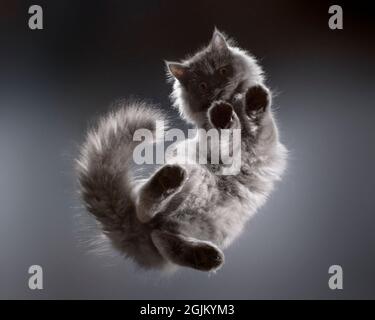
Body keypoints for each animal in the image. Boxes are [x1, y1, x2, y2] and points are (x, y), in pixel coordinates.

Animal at [76, 28, 288, 272]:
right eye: (203, 86)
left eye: (223, 71)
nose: (218, 90)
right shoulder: (219, 144)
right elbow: (226, 137)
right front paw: (224, 115)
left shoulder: (264, 138)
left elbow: (258, 118)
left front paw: (252, 100)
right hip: (191, 172)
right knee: (146, 212)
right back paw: (168, 180)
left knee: (163, 239)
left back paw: (204, 257)